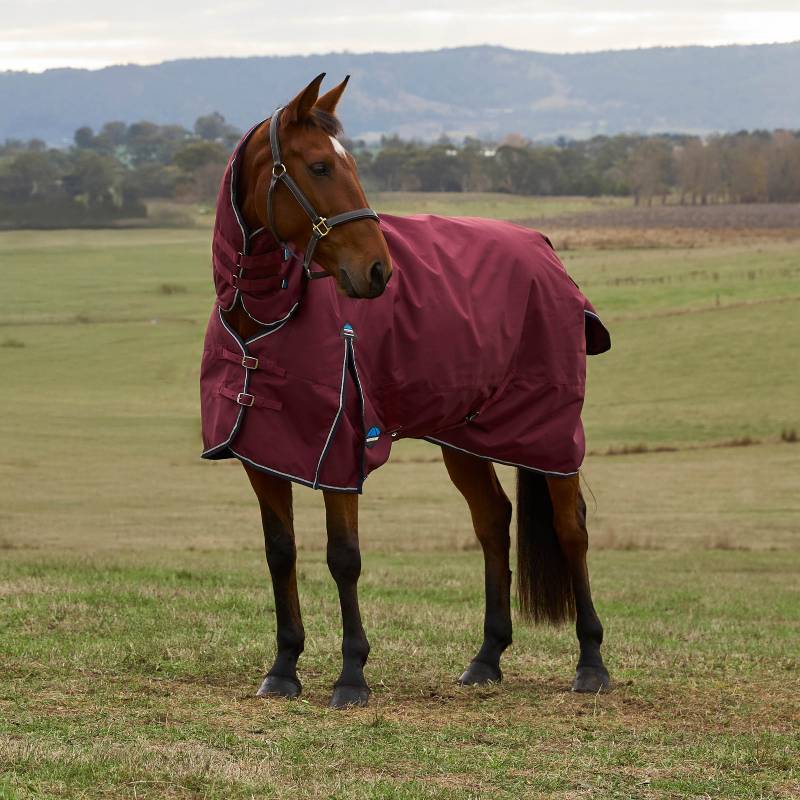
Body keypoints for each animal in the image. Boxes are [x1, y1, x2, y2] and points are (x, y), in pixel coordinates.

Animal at [201, 73, 611, 708]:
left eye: (349, 163)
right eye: (320, 166)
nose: (378, 271)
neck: (269, 313)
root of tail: (543, 247)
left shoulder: (338, 452)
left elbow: (343, 558)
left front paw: (351, 675)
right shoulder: (264, 452)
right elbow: (280, 552)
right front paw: (284, 667)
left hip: (549, 433)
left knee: (572, 529)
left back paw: (591, 662)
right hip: (464, 437)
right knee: (493, 521)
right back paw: (486, 657)